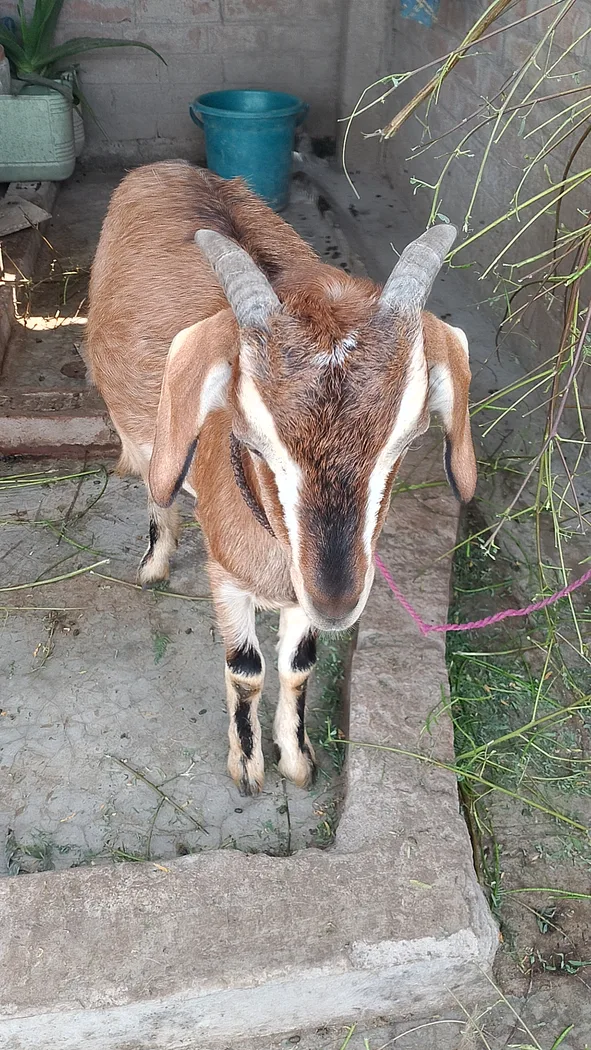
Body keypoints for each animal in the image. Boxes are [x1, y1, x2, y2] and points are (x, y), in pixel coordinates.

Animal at [85, 160, 476, 796]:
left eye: (407, 437)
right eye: (252, 440)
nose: (337, 600)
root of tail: (166, 165)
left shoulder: (300, 595)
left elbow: (298, 665)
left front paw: (296, 758)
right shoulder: (226, 578)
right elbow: (246, 669)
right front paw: (247, 767)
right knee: (155, 484)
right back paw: (155, 562)